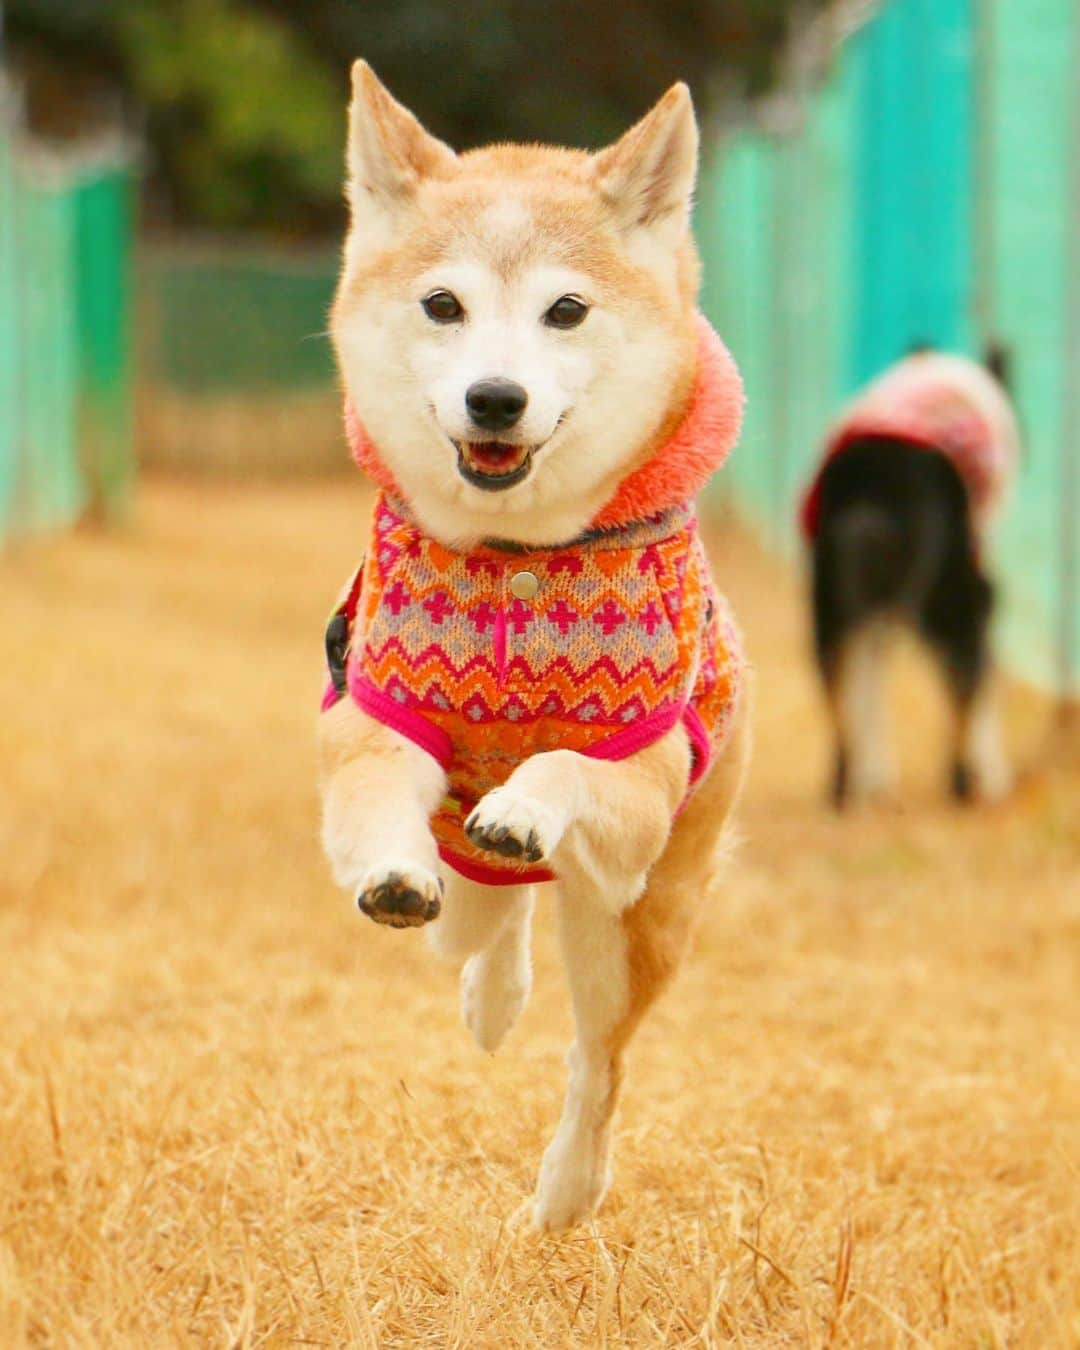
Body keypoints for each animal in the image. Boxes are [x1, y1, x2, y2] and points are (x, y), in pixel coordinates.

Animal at [315, 60, 745, 1236]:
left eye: (566, 310)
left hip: (637, 918)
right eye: (442, 305)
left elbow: (560, 765)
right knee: (481, 918)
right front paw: (396, 871)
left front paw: (525, 802)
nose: (495, 398)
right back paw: (489, 973)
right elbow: (383, 806)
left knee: (599, 1062)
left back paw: (562, 1197)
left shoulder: (638, 778)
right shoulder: (372, 726)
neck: (519, 557)